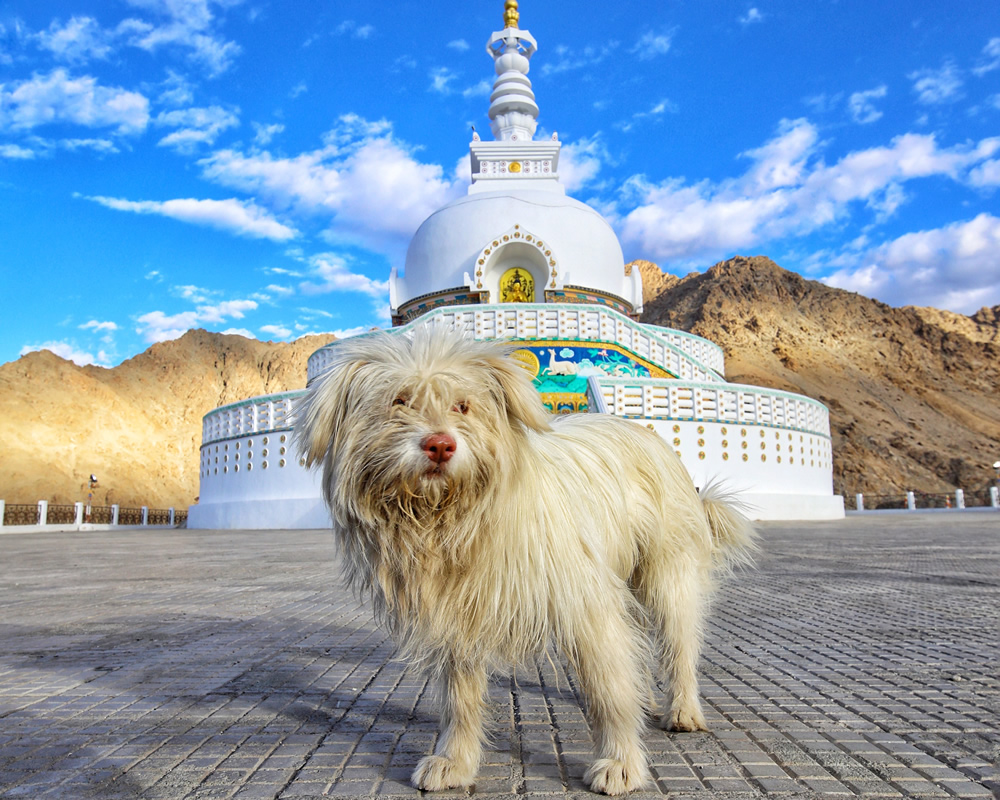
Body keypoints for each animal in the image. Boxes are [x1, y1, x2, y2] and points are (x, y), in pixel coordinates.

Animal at [296, 324, 756, 792]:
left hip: (668, 576)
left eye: (463, 405)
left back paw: (682, 710)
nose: (440, 445)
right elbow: (459, 699)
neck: (450, 520)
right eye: (399, 401)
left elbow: (609, 687)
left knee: (680, 645)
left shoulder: (586, 603)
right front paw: (456, 760)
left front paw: (620, 761)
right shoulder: (455, 614)